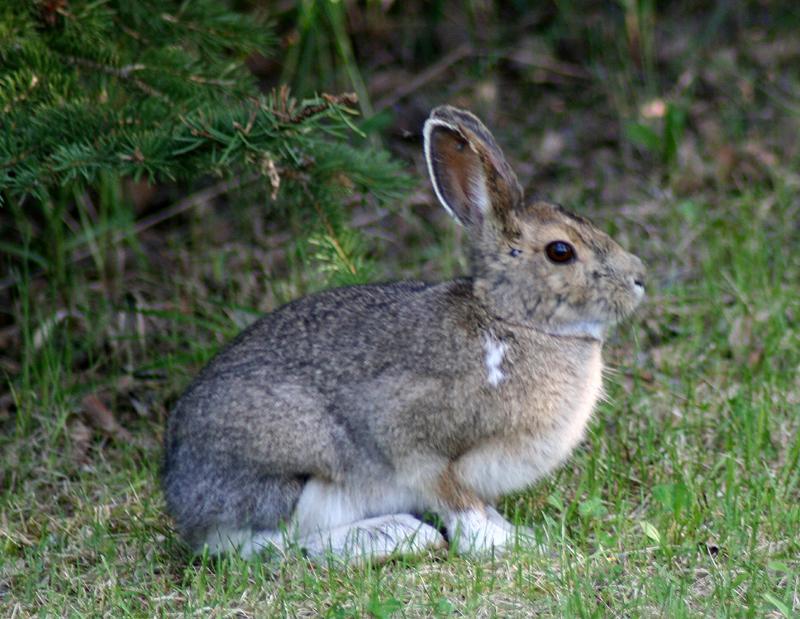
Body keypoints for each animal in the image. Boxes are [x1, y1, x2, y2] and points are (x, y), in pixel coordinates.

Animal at [161, 105, 644, 560]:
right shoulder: (415, 441)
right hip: (297, 465)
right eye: (561, 251)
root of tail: (182, 495)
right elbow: (457, 502)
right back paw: (398, 536)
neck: (514, 321)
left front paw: (517, 534)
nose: (638, 279)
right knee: (274, 545)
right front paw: (501, 544)